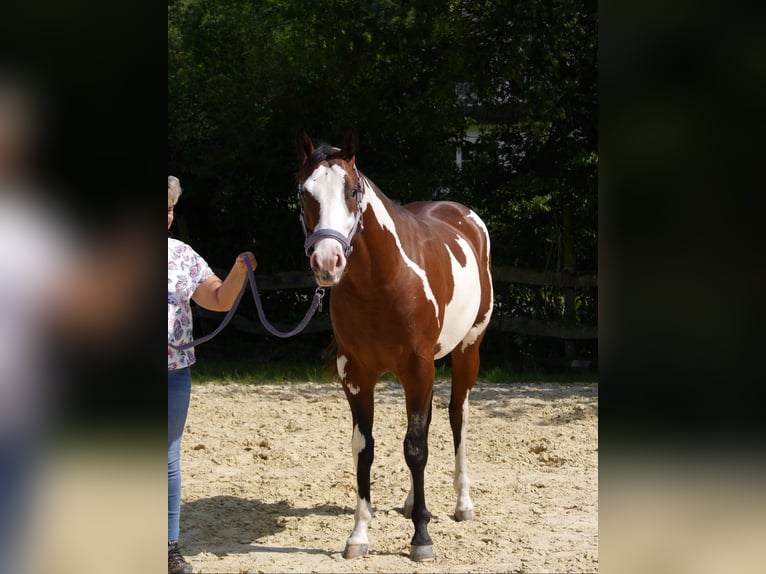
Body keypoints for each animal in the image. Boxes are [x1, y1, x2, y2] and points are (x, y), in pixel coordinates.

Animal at [295, 128, 494, 562]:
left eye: (353, 190)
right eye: (304, 192)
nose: (327, 262)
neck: (381, 283)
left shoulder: (418, 368)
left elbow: (415, 447)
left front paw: (421, 538)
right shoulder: (356, 374)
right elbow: (364, 448)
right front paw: (358, 535)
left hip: (467, 350)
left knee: (457, 417)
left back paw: (462, 503)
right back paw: (412, 502)